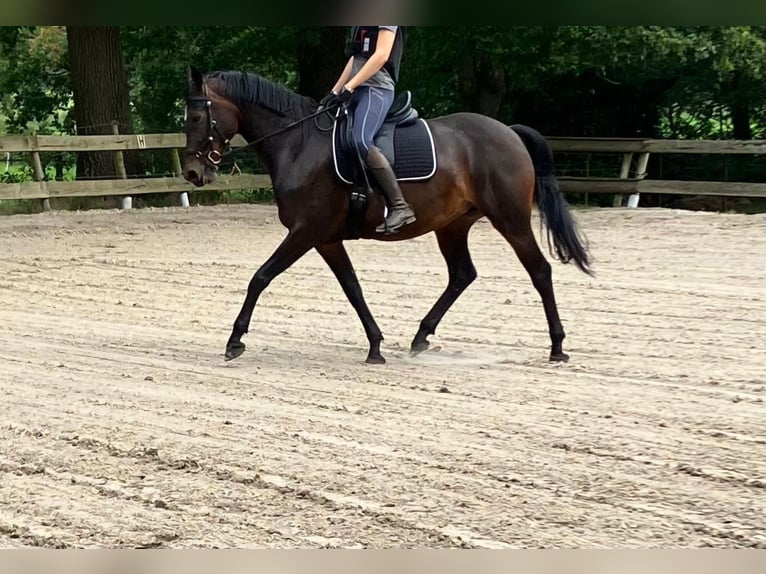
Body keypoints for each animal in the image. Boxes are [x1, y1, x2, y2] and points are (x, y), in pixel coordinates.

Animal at [183, 66, 596, 364]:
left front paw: (235, 340)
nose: (192, 173)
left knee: (539, 271)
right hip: (452, 225)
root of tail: (508, 132)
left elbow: (260, 277)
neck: (298, 144)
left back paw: (557, 347)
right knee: (462, 274)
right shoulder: (327, 239)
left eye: (196, 117)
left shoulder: (305, 231)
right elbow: (352, 288)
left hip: (510, 220)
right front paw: (376, 346)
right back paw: (421, 337)